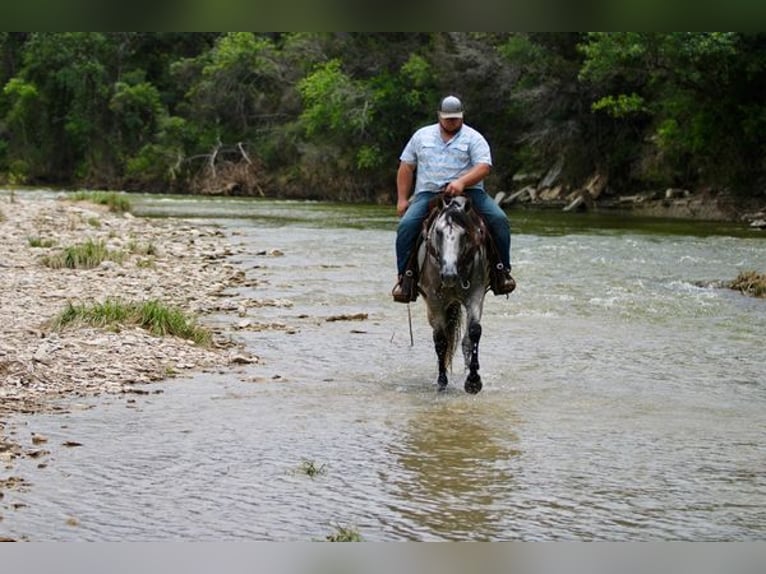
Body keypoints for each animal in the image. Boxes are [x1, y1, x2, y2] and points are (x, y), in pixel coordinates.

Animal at [417, 194, 490, 394]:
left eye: (464, 234)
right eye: (438, 232)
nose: (449, 275)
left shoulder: (476, 295)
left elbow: (473, 332)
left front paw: (473, 380)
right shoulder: (434, 301)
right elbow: (441, 340)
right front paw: (442, 381)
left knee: (465, 341)